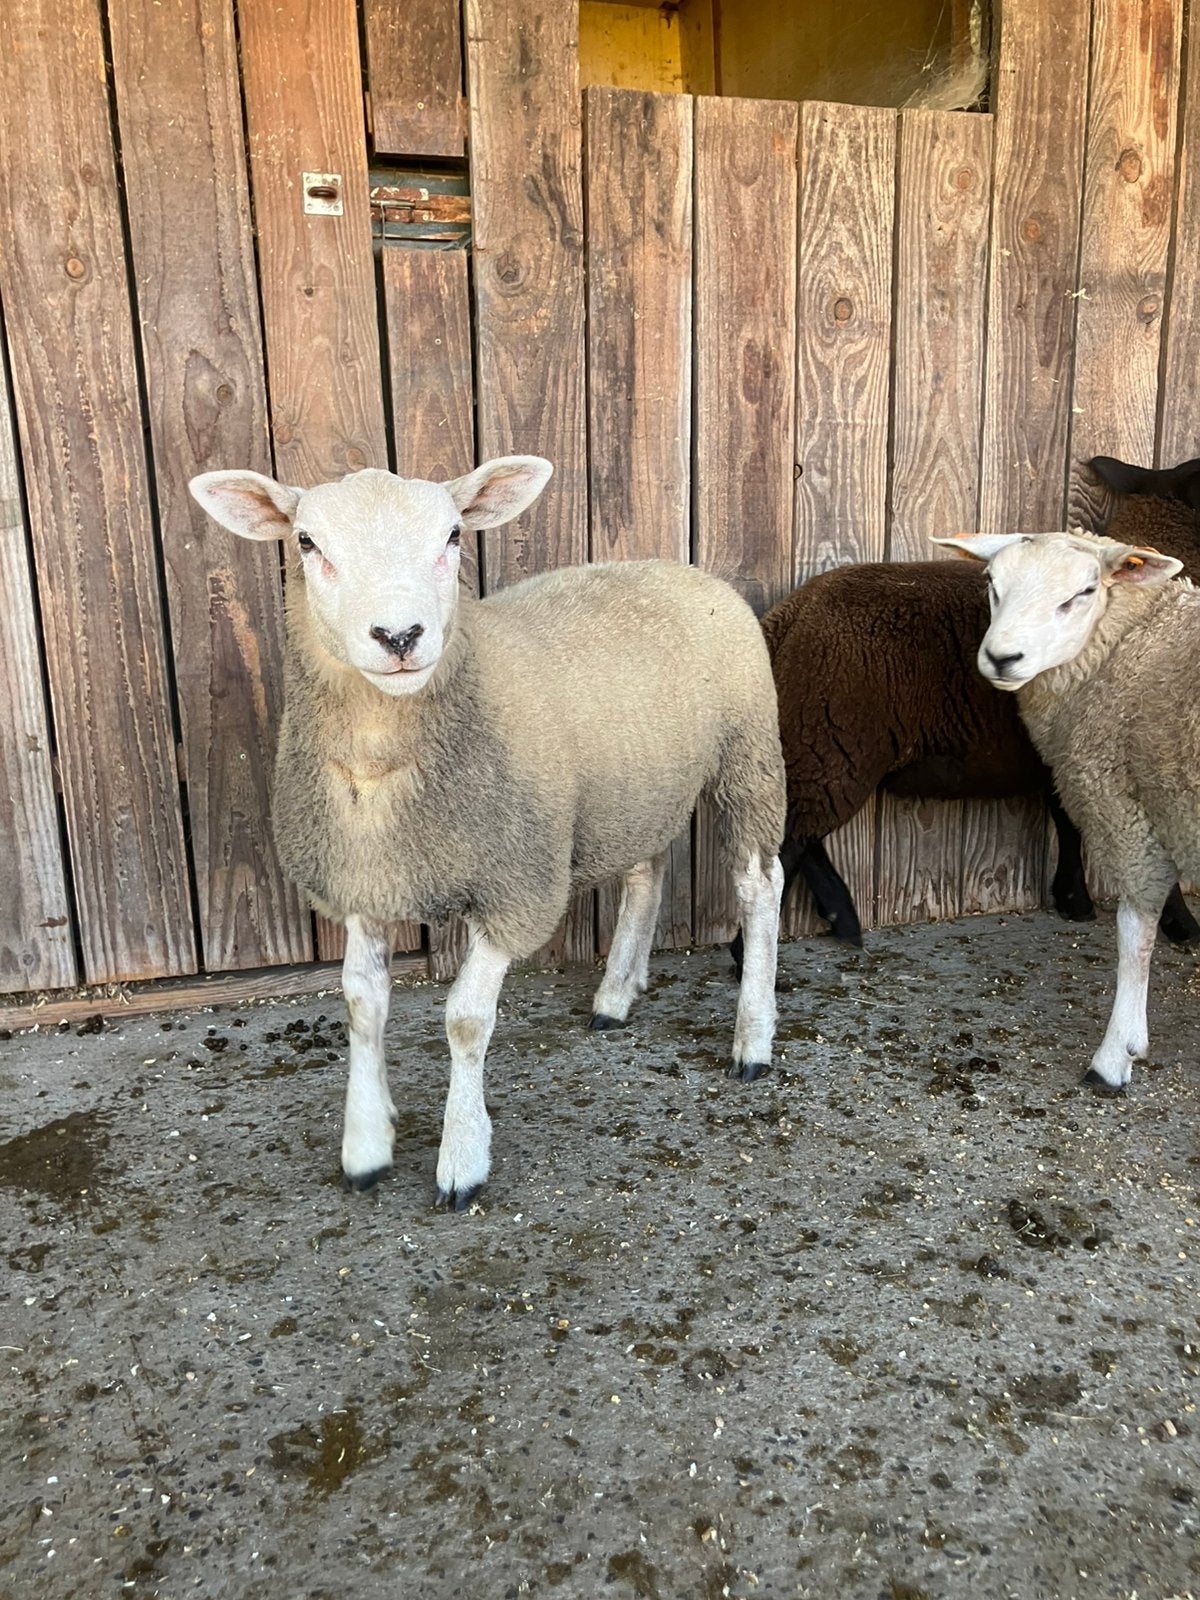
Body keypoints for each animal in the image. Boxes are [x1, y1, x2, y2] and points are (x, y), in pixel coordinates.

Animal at [188, 457, 786, 1207]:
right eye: (305, 541)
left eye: (452, 535)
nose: (399, 637)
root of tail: (681, 568)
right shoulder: (364, 884)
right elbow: (361, 1005)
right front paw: (366, 1146)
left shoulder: (514, 886)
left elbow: (466, 1020)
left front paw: (462, 1159)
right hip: (638, 785)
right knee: (647, 875)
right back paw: (616, 997)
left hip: (748, 752)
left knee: (761, 886)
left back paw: (752, 1040)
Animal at [935, 529, 1199, 1089]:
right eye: (992, 583)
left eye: (1084, 592)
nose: (1002, 657)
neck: (1134, 641)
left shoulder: (1128, 812)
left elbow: (1134, 934)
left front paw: (1115, 1055)